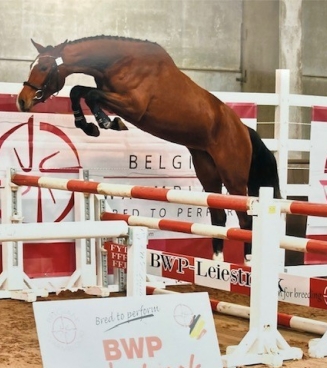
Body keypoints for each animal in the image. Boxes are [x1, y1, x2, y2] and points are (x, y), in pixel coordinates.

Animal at [16, 35, 282, 262]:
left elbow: (90, 94)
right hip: (207, 170)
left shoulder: (133, 106)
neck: (119, 62)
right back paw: (216, 267)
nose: (22, 101)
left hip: (233, 176)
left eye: (43, 68)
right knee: (218, 217)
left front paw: (106, 123)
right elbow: (79, 91)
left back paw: (246, 265)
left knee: (245, 220)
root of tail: (243, 129)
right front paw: (90, 125)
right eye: (31, 65)